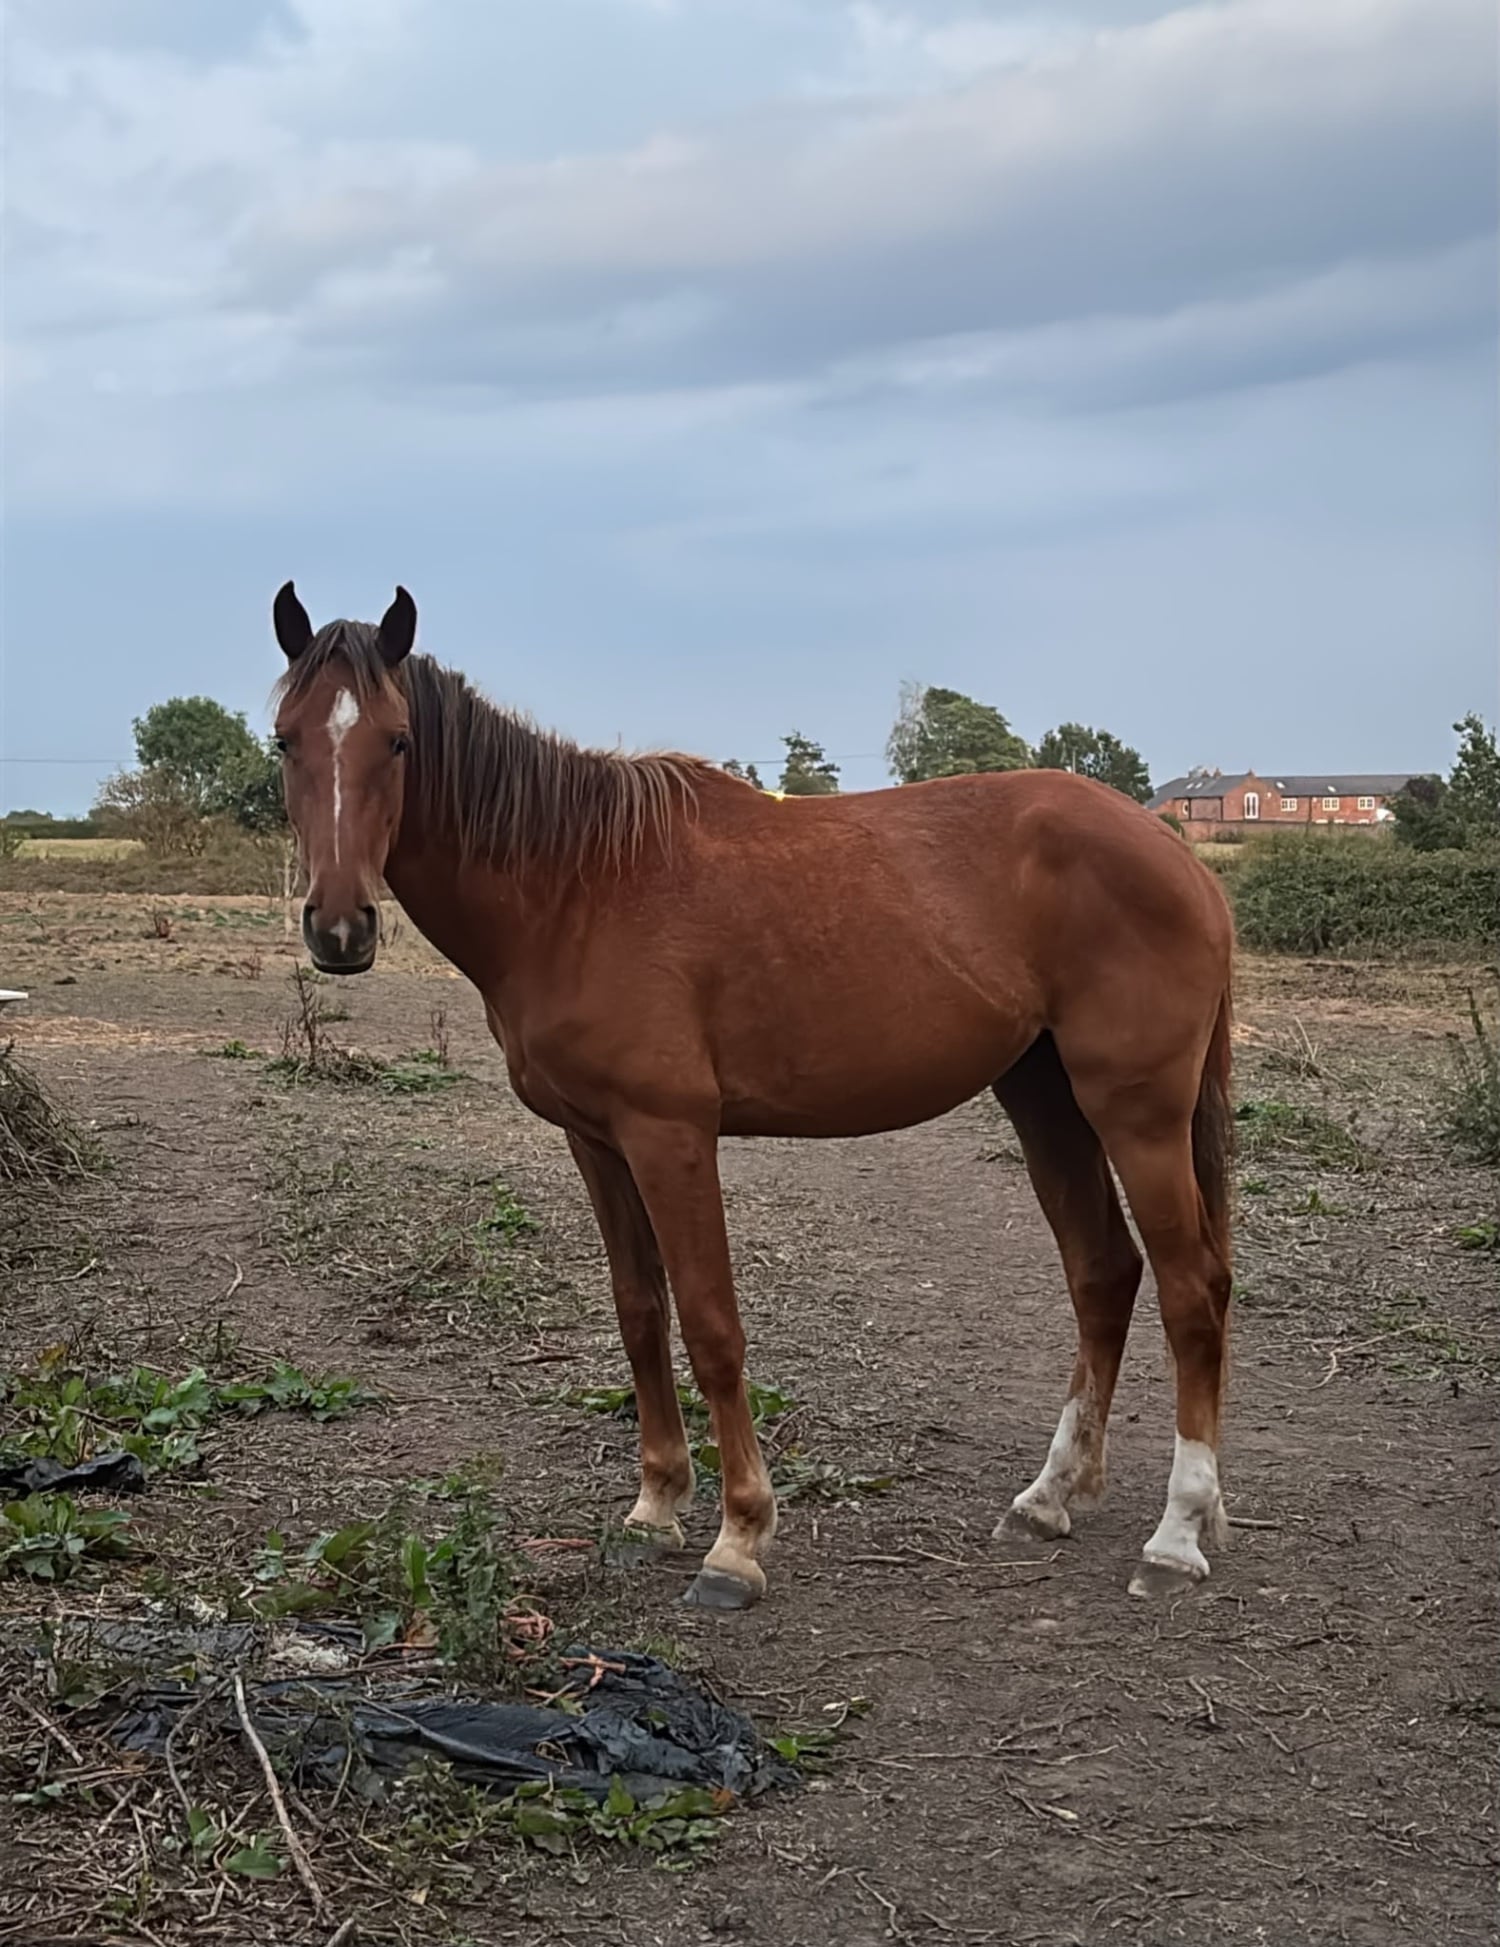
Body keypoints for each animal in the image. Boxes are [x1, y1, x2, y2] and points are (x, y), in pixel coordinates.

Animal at [269, 582, 1236, 1610]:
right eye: (287, 739)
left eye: (398, 741)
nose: (339, 927)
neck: (575, 886)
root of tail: (1179, 856)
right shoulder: (596, 1140)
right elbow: (639, 1311)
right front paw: (655, 1506)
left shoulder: (671, 1135)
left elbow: (710, 1322)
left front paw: (738, 1537)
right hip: (1045, 1099)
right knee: (1104, 1273)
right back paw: (1050, 1495)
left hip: (1137, 1113)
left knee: (1191, 1289)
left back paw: (1177, 1532)